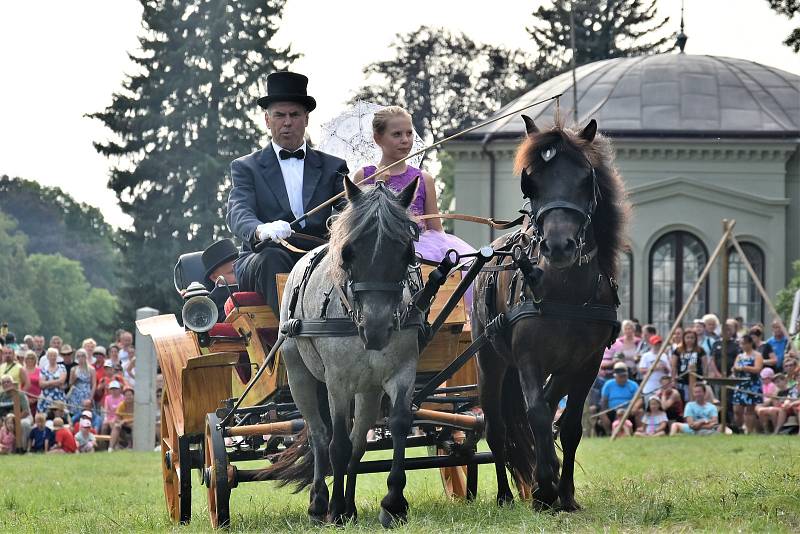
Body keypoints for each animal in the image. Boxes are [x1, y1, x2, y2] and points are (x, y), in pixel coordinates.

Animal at [260, 176, 422, 528]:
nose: (376, 328)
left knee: (358, 442)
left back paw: (349, 506)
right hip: (300, 376)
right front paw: (333, 508)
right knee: (321, 436)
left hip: (368, 389)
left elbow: (398, 424)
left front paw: (393, 502)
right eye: (348, 252)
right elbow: (337, 444)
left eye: (407, 252)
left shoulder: (401, 373)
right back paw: (321, 503)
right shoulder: (337, 381)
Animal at [472, 116, 628, 510]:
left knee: (549, 399)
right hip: (489, 360)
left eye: (585, 179)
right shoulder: (528, 357)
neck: (565, 291)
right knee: (497, 429)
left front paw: (565, 493)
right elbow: (538, 415)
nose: (559, 246)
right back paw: (505, 494)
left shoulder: (588, 363)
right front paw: (544, 487)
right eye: (531, 182)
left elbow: (569, 425)